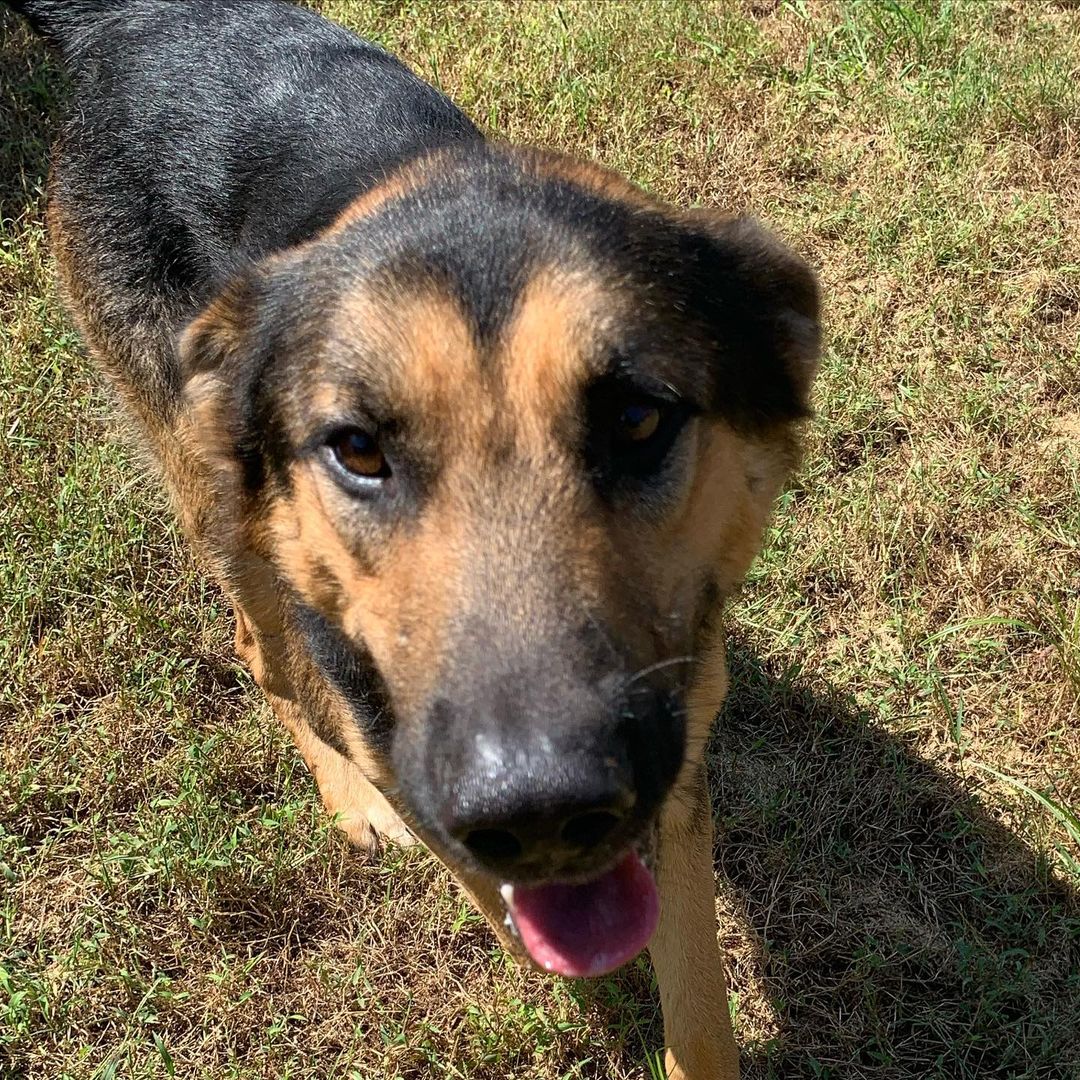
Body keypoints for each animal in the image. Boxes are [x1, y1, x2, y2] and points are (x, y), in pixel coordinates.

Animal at [8, 0, 820, 1071]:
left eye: (639, 418)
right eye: (357, 448)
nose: (543, 810)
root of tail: (129, 20)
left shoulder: (677, 761)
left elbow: (696, 1007)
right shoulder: (426, 773)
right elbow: (494, 892)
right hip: (217, 495)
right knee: (263, 652)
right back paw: (348, 795)